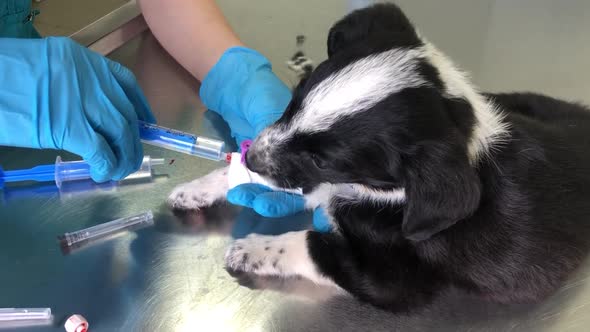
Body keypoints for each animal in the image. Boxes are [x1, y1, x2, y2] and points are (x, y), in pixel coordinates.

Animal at [168, 3, 590, 312]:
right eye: (293, 102)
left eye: (324, 160)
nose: (254, 155)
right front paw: (201, 187)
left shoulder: (392, 281)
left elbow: (314, 244)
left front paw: (252, 249)